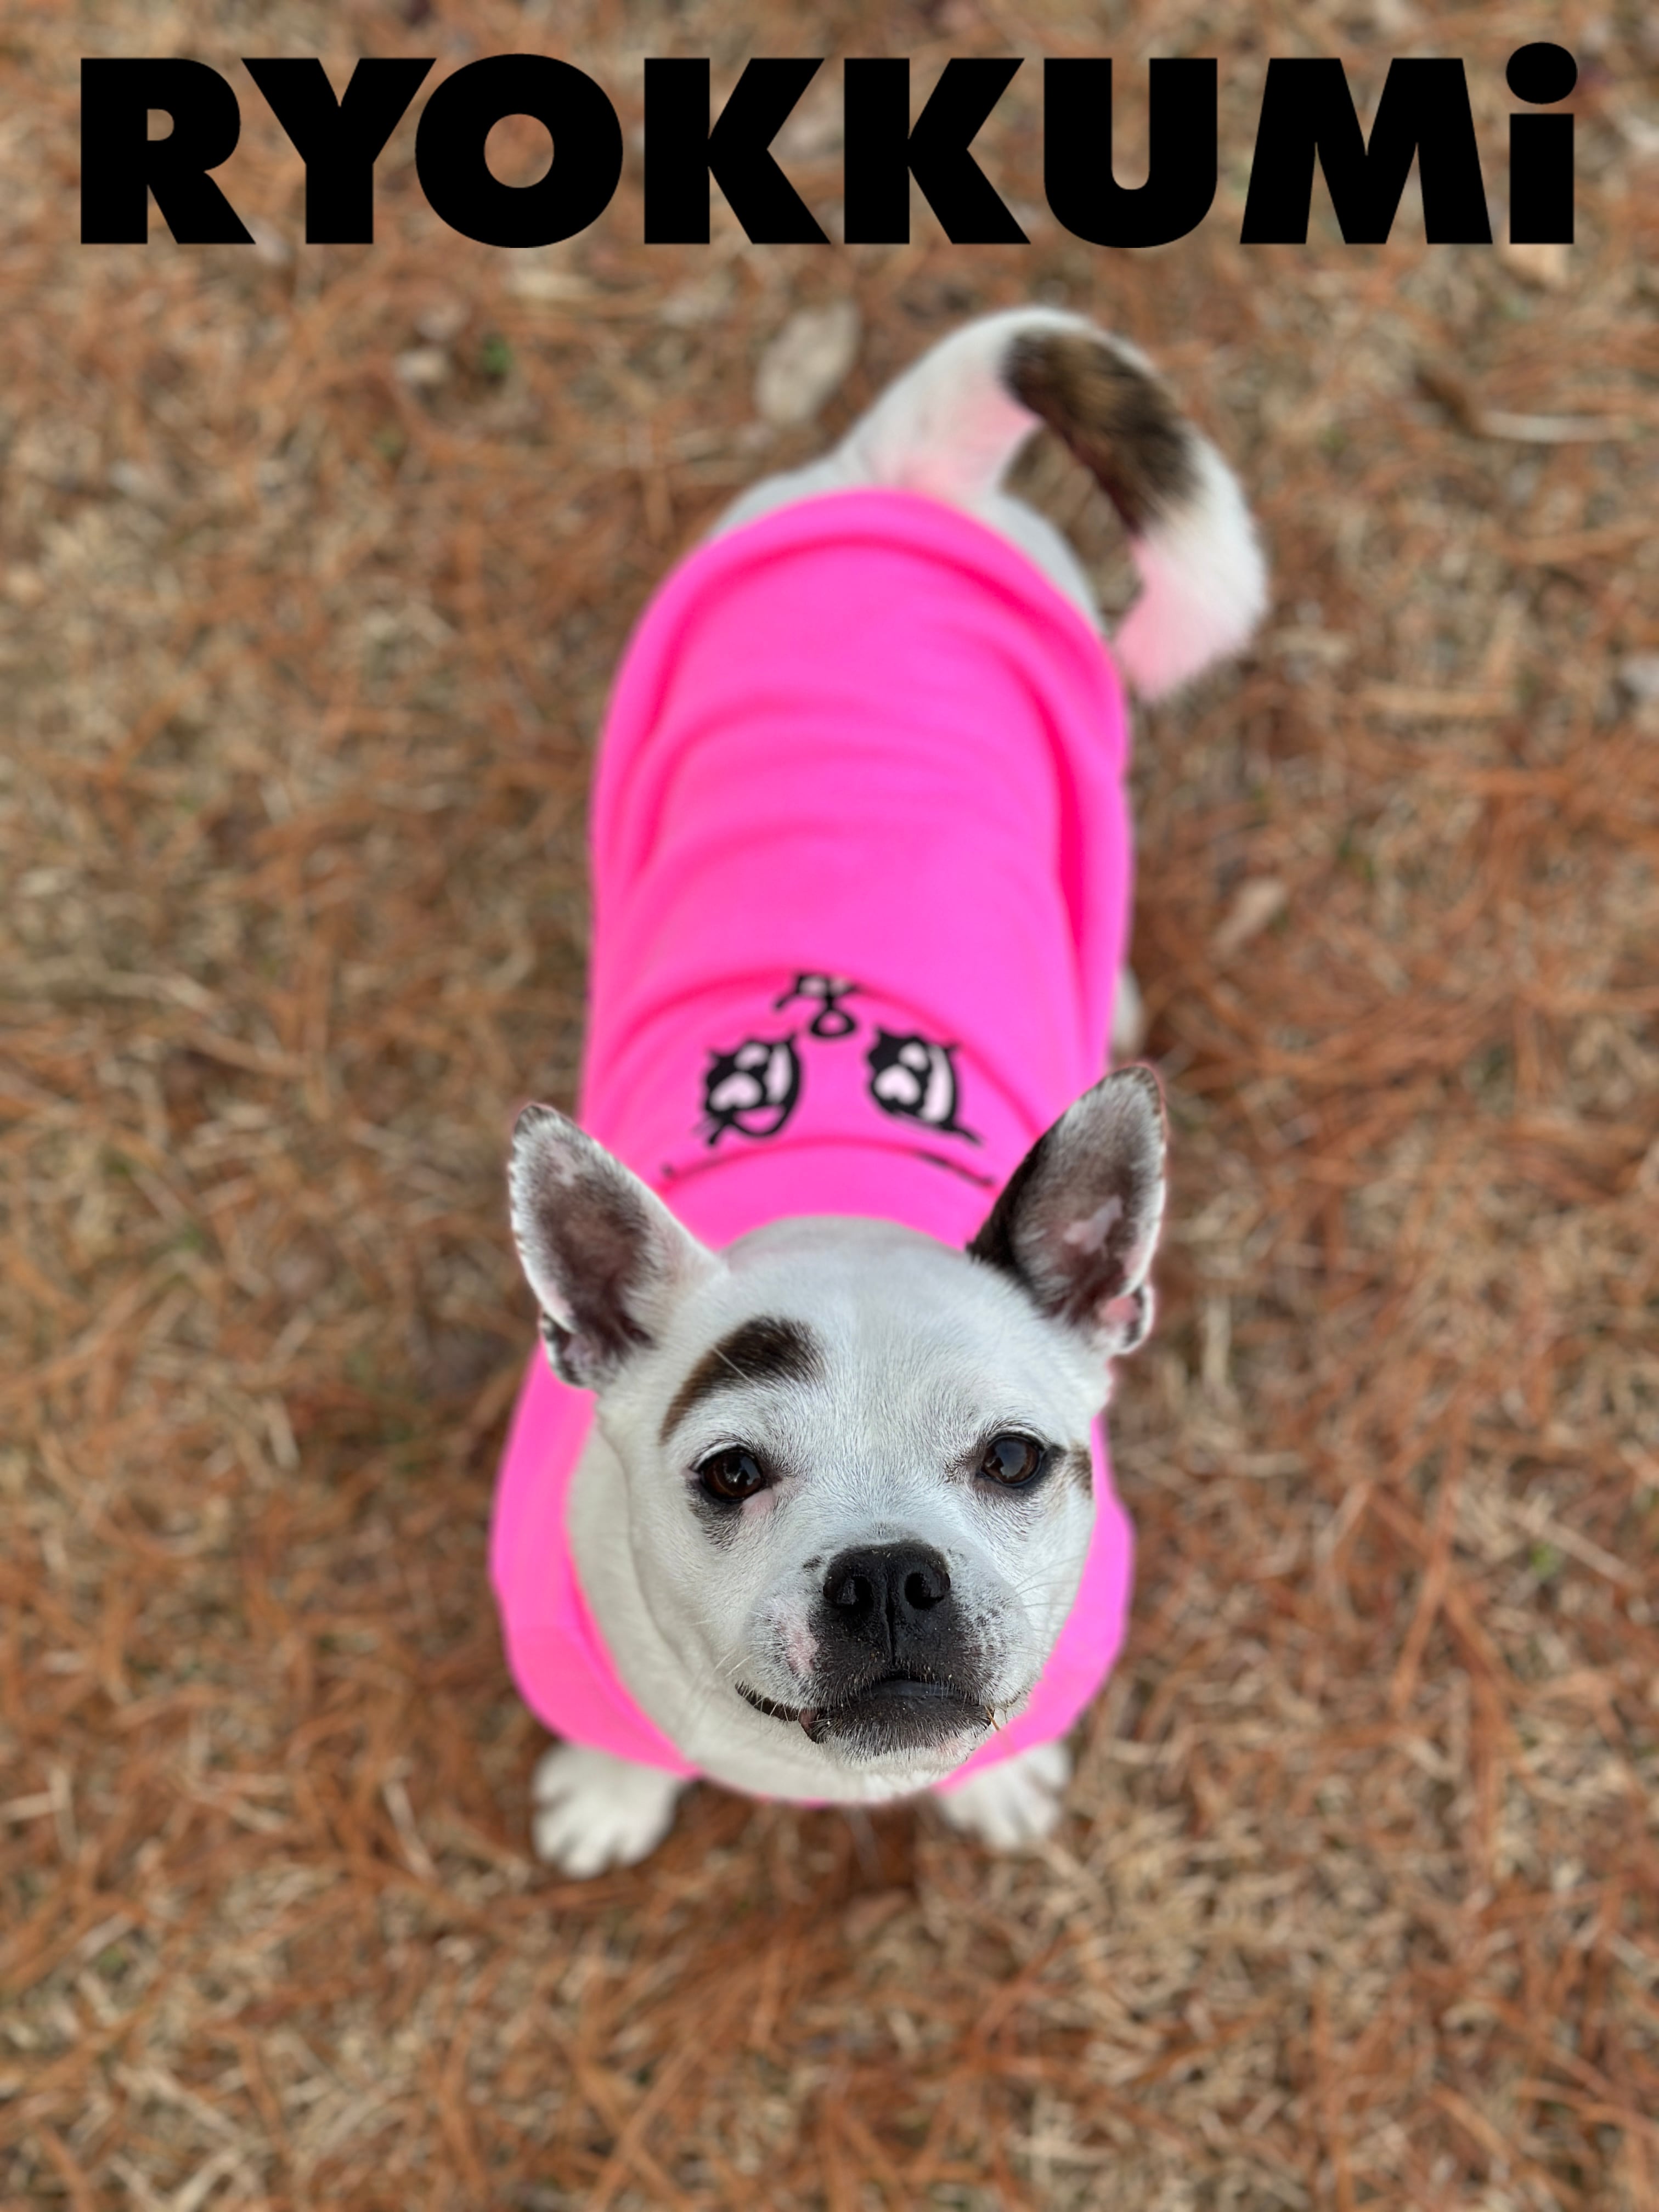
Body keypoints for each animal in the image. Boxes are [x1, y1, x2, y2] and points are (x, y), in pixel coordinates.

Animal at [493, 307, 1266, 1876]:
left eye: (1017, 1461)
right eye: (729, 1475)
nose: (892, 1575)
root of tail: (906, 479)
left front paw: (995, 1785)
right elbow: (618, 1737)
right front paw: (611, 1792)